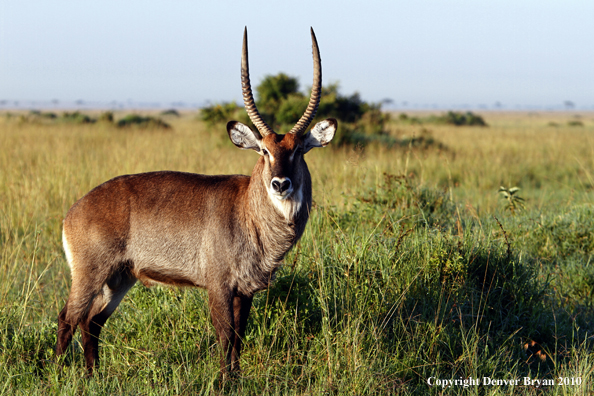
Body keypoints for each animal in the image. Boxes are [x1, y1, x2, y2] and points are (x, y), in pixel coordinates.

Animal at [54, 27, 338, 374]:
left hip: (119, 279)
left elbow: (239, 340)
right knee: (68, 318)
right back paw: (57, 375)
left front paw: (236, 379)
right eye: (264, 150)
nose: (280, 183)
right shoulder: (218, 286)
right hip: (90, 274)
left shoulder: (245, 291)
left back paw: (94, 376)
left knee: (92, 322)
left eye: (298, 150)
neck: (248, 213)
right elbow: (226, 338)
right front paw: (223, 381)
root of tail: (74, 211)